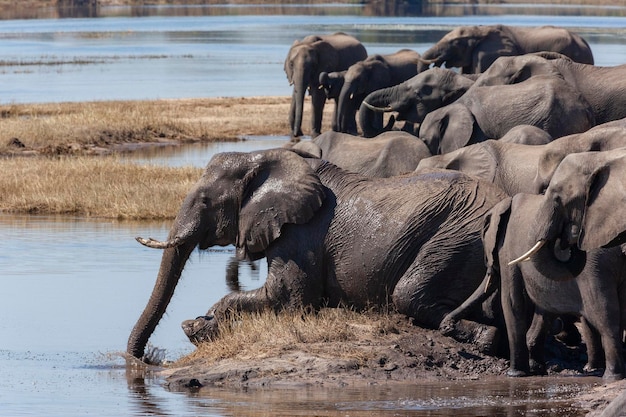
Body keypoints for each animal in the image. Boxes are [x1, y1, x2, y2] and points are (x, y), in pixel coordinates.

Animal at [128, 148, 508, 360]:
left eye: (206, 201)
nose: (144, 360)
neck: (267, 157)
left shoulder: (299, 234)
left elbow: (289, 300)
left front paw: (199, 326)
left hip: (459, 236)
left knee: (409, 295)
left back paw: (481, 338)